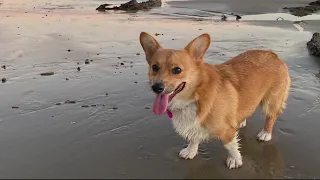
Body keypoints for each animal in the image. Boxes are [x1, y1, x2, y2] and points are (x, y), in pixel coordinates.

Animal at [139, 32, 292, 169]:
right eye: (155, 67)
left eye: (177, 70)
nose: (157, 87)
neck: (196, 95)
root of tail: (273, 54)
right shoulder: (194, 125)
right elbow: (193, 138)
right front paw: (191, 151)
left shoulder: (226, 131)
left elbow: (230, 145)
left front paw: (235, 160)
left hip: (271, 101)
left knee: (271, 117)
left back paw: (265, 133)